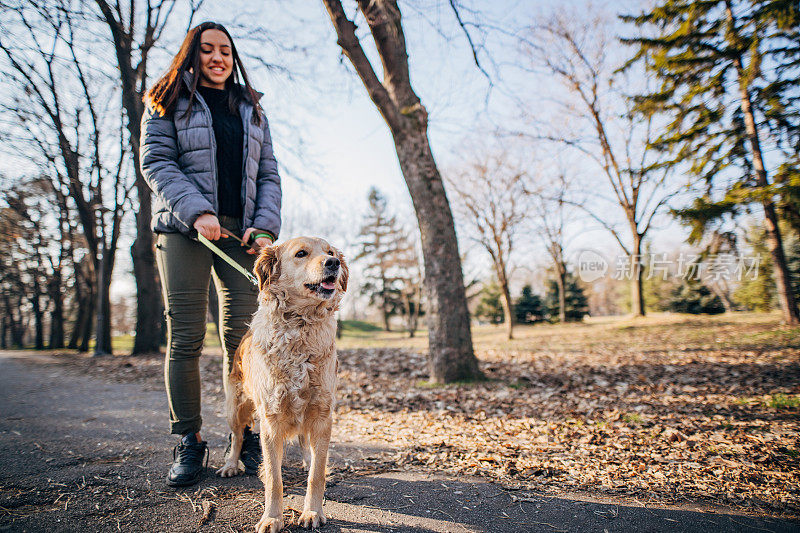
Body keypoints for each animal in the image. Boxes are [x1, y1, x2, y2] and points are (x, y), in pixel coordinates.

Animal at [216, 237, 346, 532]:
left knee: (305, 444)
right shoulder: (271, 420)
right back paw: (231, 464)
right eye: (301, 254)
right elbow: (274, 479)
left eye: (330, 252)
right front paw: (272, 518)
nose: (333, 263)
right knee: (237, 435)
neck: (300, 325)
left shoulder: (322, 414)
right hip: (235, 407)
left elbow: (316, 474)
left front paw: (312, 511)